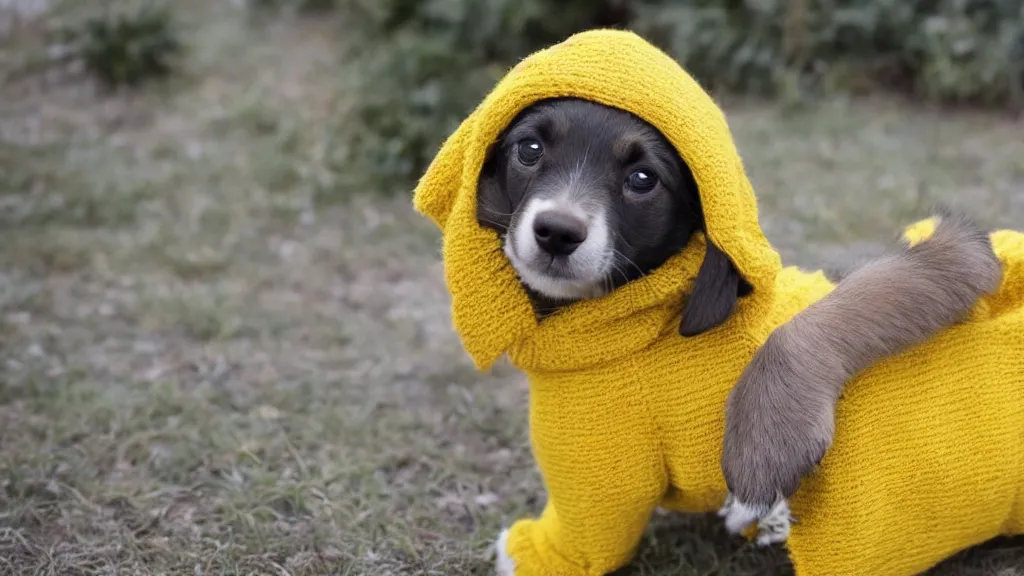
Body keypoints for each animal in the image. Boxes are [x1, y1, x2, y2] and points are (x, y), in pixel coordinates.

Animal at [475, 98, 1003, 553]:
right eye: (529, 149)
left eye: (643, 179)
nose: (557, 232)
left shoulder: (950, 254)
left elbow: (825, 314)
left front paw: (765, 449)